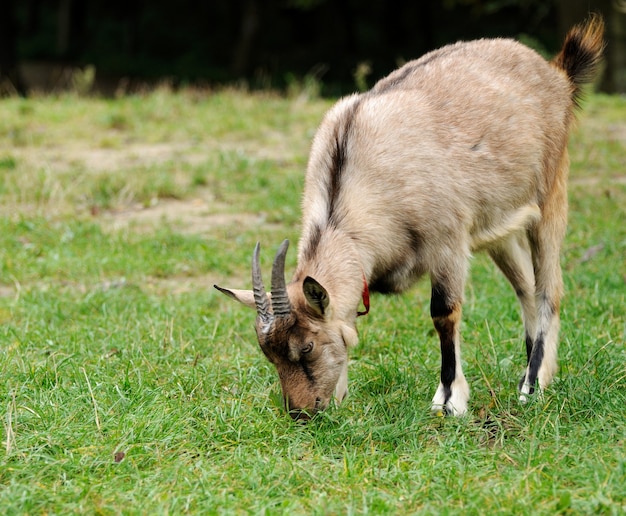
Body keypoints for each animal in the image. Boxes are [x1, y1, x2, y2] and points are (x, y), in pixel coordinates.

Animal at [213, 16, 600, 420]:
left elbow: (443, 313)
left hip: (551, 194)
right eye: (268, 354)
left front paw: (449, 400)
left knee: (548, 288)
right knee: (525, 286)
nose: (301, 412)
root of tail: (556, 75)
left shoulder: (447, 242)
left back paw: (532, 385)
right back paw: (531, 374)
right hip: (500, 226)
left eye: (306, 347)